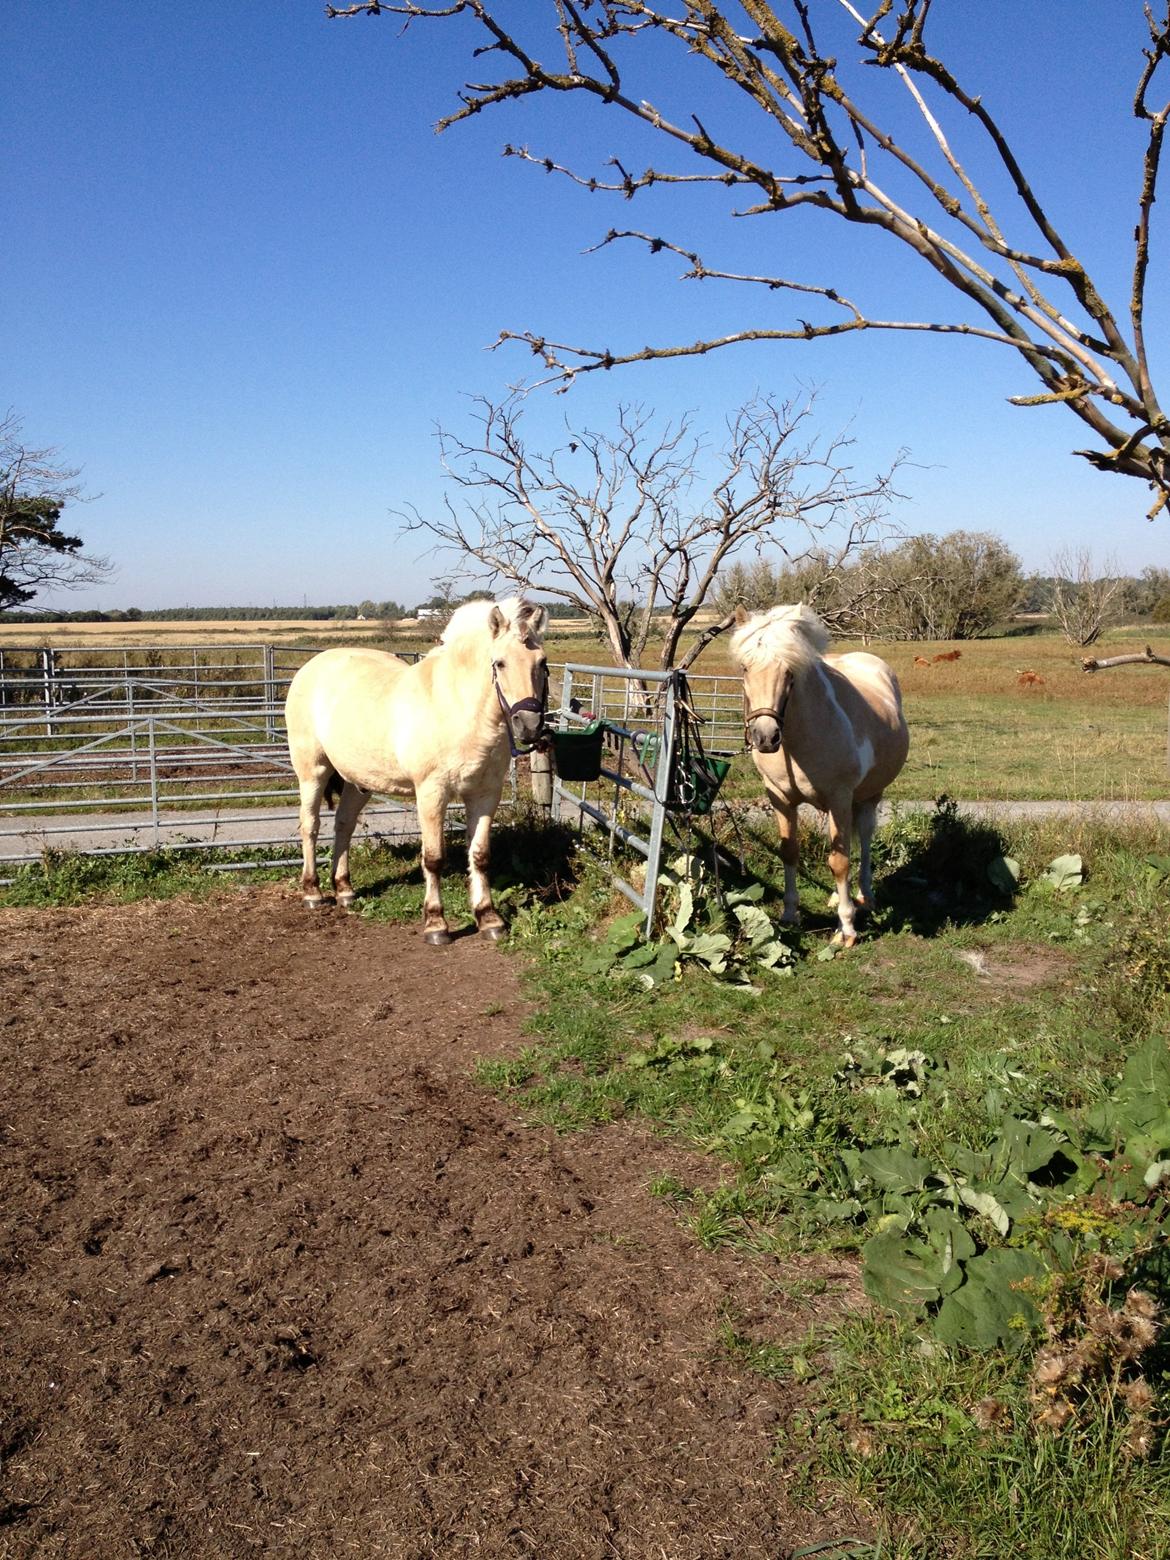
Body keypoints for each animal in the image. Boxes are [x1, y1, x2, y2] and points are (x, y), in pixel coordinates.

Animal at [288, 592, 555, 935]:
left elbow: (480, 854)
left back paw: (344, 889)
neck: (456, 707)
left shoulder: (485, 794)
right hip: (313, 772)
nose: (529, 725)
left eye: (542, 663)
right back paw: (312, 892)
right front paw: (435, 922)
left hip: (358, 782)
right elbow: (433, 857)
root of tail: (310, 667)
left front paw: (488, 917)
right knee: (310, 825)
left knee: (344, 824)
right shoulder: (432, 793)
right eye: (500, 663)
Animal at [733, 605, 917, 948]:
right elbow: (790, 852)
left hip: (869, 796)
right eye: (745, 668)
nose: (766, 737)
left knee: (865, 840)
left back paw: (864, 896)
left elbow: (840, 861)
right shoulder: (780, 798)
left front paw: (847, 929)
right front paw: (790, 914)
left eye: (789, 672)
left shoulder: (840, 797)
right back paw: (836, 898)